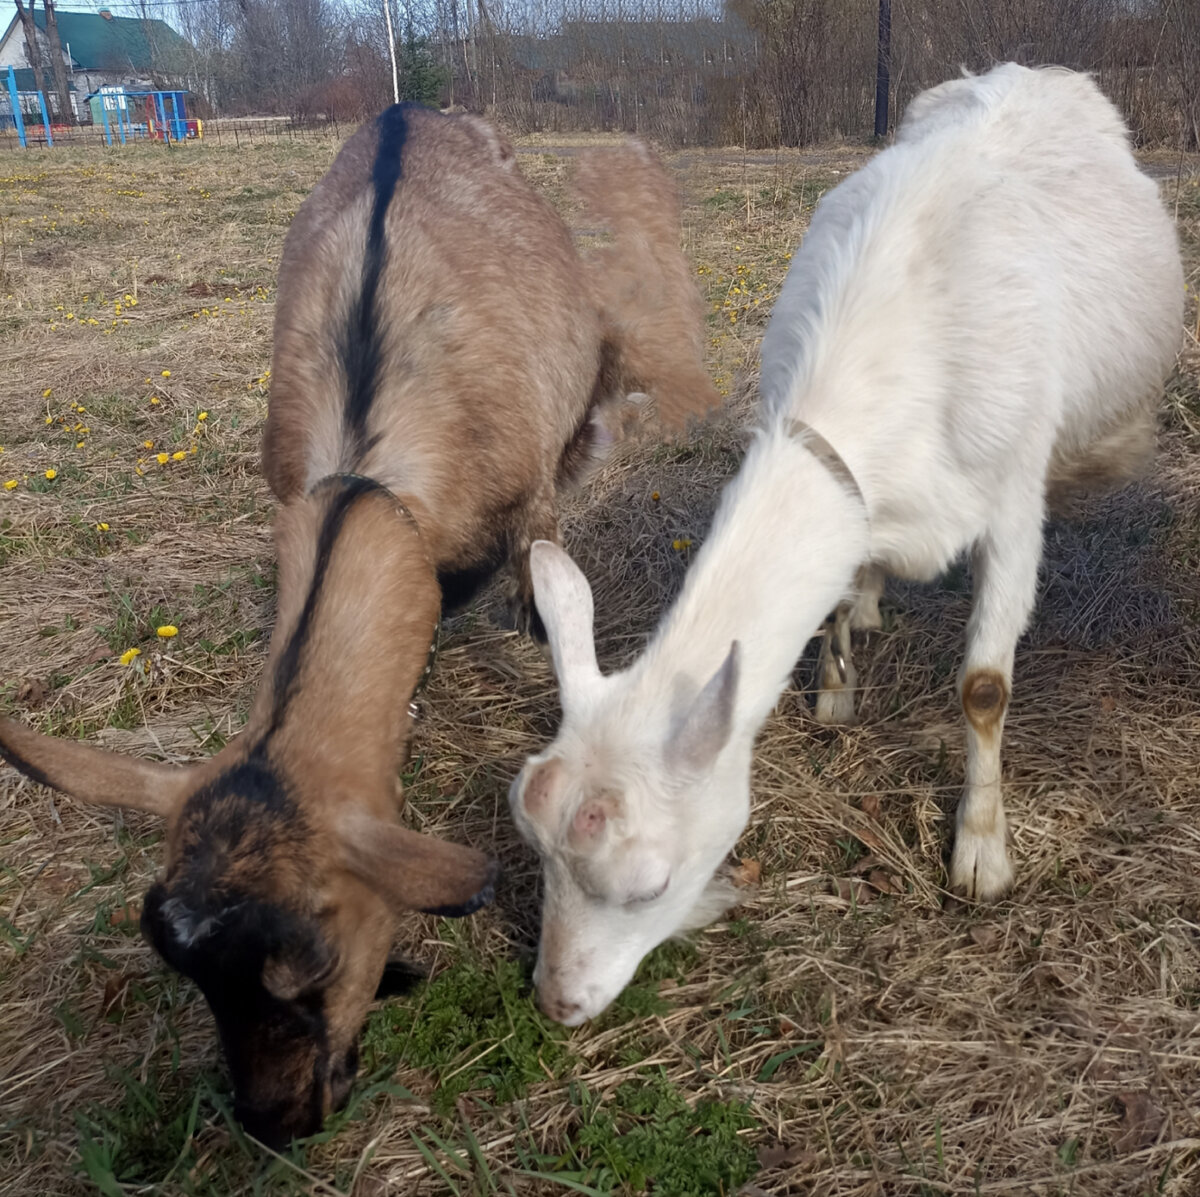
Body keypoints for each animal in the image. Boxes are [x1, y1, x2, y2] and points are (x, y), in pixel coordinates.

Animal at [504, 60, 1180, 1026]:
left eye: (650, 883)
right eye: (534, 845)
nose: (558, 1001)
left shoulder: (1012, 499)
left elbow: (983, 687)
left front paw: (981, 854)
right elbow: (836, 586)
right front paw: (834, 684)